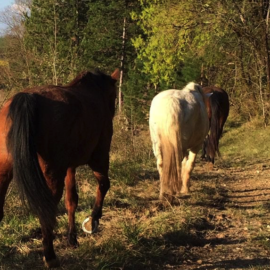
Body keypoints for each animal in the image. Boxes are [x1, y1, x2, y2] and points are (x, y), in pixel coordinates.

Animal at [0, 68, 119, 266]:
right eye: (115, 96)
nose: (113, 112)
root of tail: (28, 98)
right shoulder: (99, 157)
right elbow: (104, 184)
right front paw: (92, 221)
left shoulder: (70, 167)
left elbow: (71, 201)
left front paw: (72, 238)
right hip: (53, 175)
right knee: (47, 212)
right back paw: (50, 256)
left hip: (5, 172)